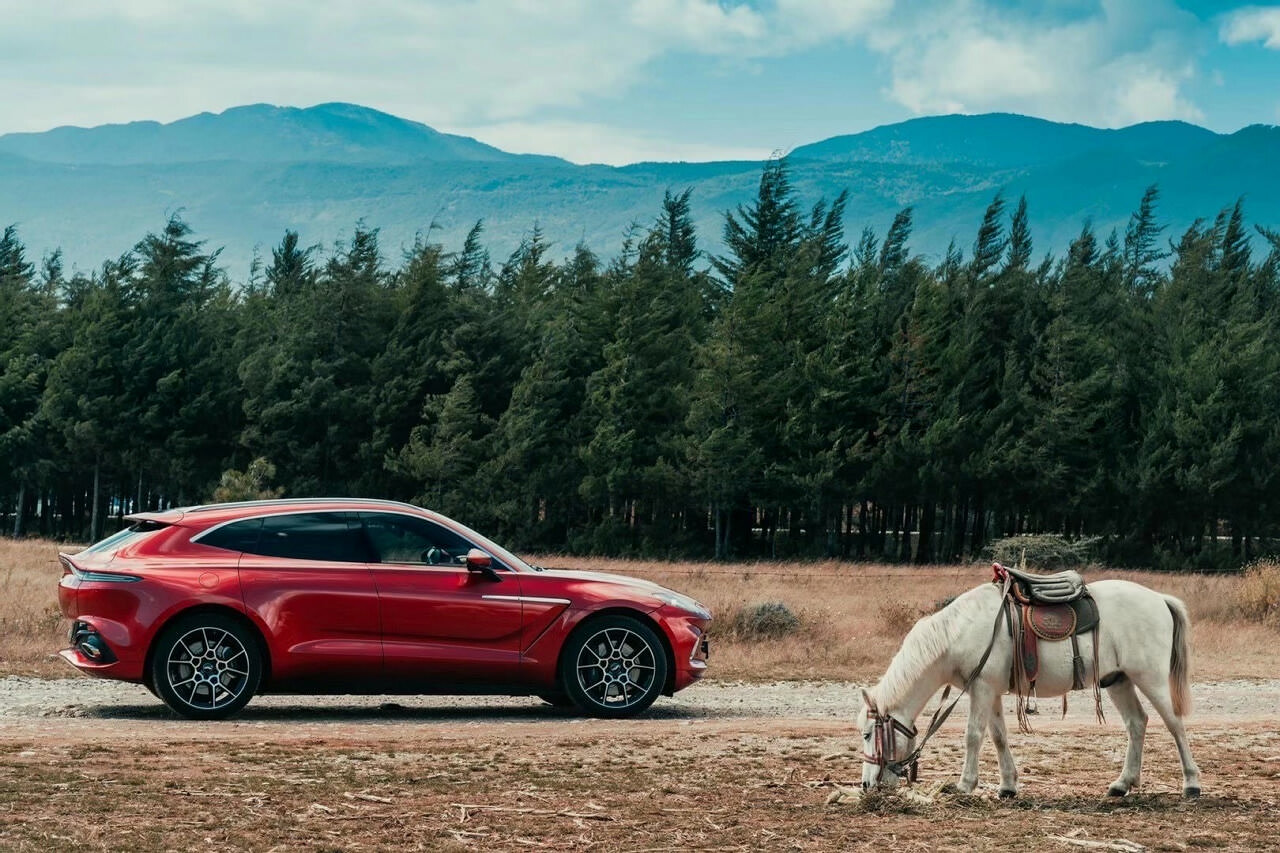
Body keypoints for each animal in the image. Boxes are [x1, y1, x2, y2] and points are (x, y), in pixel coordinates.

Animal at [860, 573, 1198, 794]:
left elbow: (973, 736)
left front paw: (965, 785)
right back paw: (1122, 784)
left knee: (1174, 724)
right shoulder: (991, 691)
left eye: (867, 734)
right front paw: (1008, 786)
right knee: (1137, 723)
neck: (958, 632)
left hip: (1150, 679)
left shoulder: (981, 689)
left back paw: (1191, 784)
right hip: (1119, 681)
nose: (865, 785)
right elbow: (998, 736)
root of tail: (1159, 599)